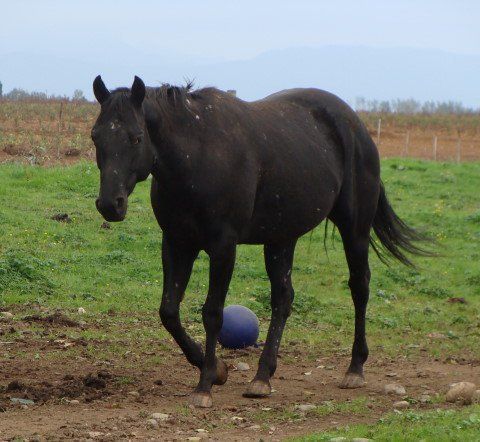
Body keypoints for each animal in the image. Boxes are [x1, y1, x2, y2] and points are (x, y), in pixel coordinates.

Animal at [92, 75, 426, 408]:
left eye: (136, 138)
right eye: (96, 137)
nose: (110, 204)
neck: (197, 154)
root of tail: (356, 125)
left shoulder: (223, 247)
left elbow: (212, 313)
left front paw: (205, 385)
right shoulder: (177, 243)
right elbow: (169, 312)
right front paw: (217, 370)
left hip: (354, 230)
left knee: (359, 287)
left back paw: (355, 368)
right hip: (281, 238)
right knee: (283, 298)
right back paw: (262, 376)